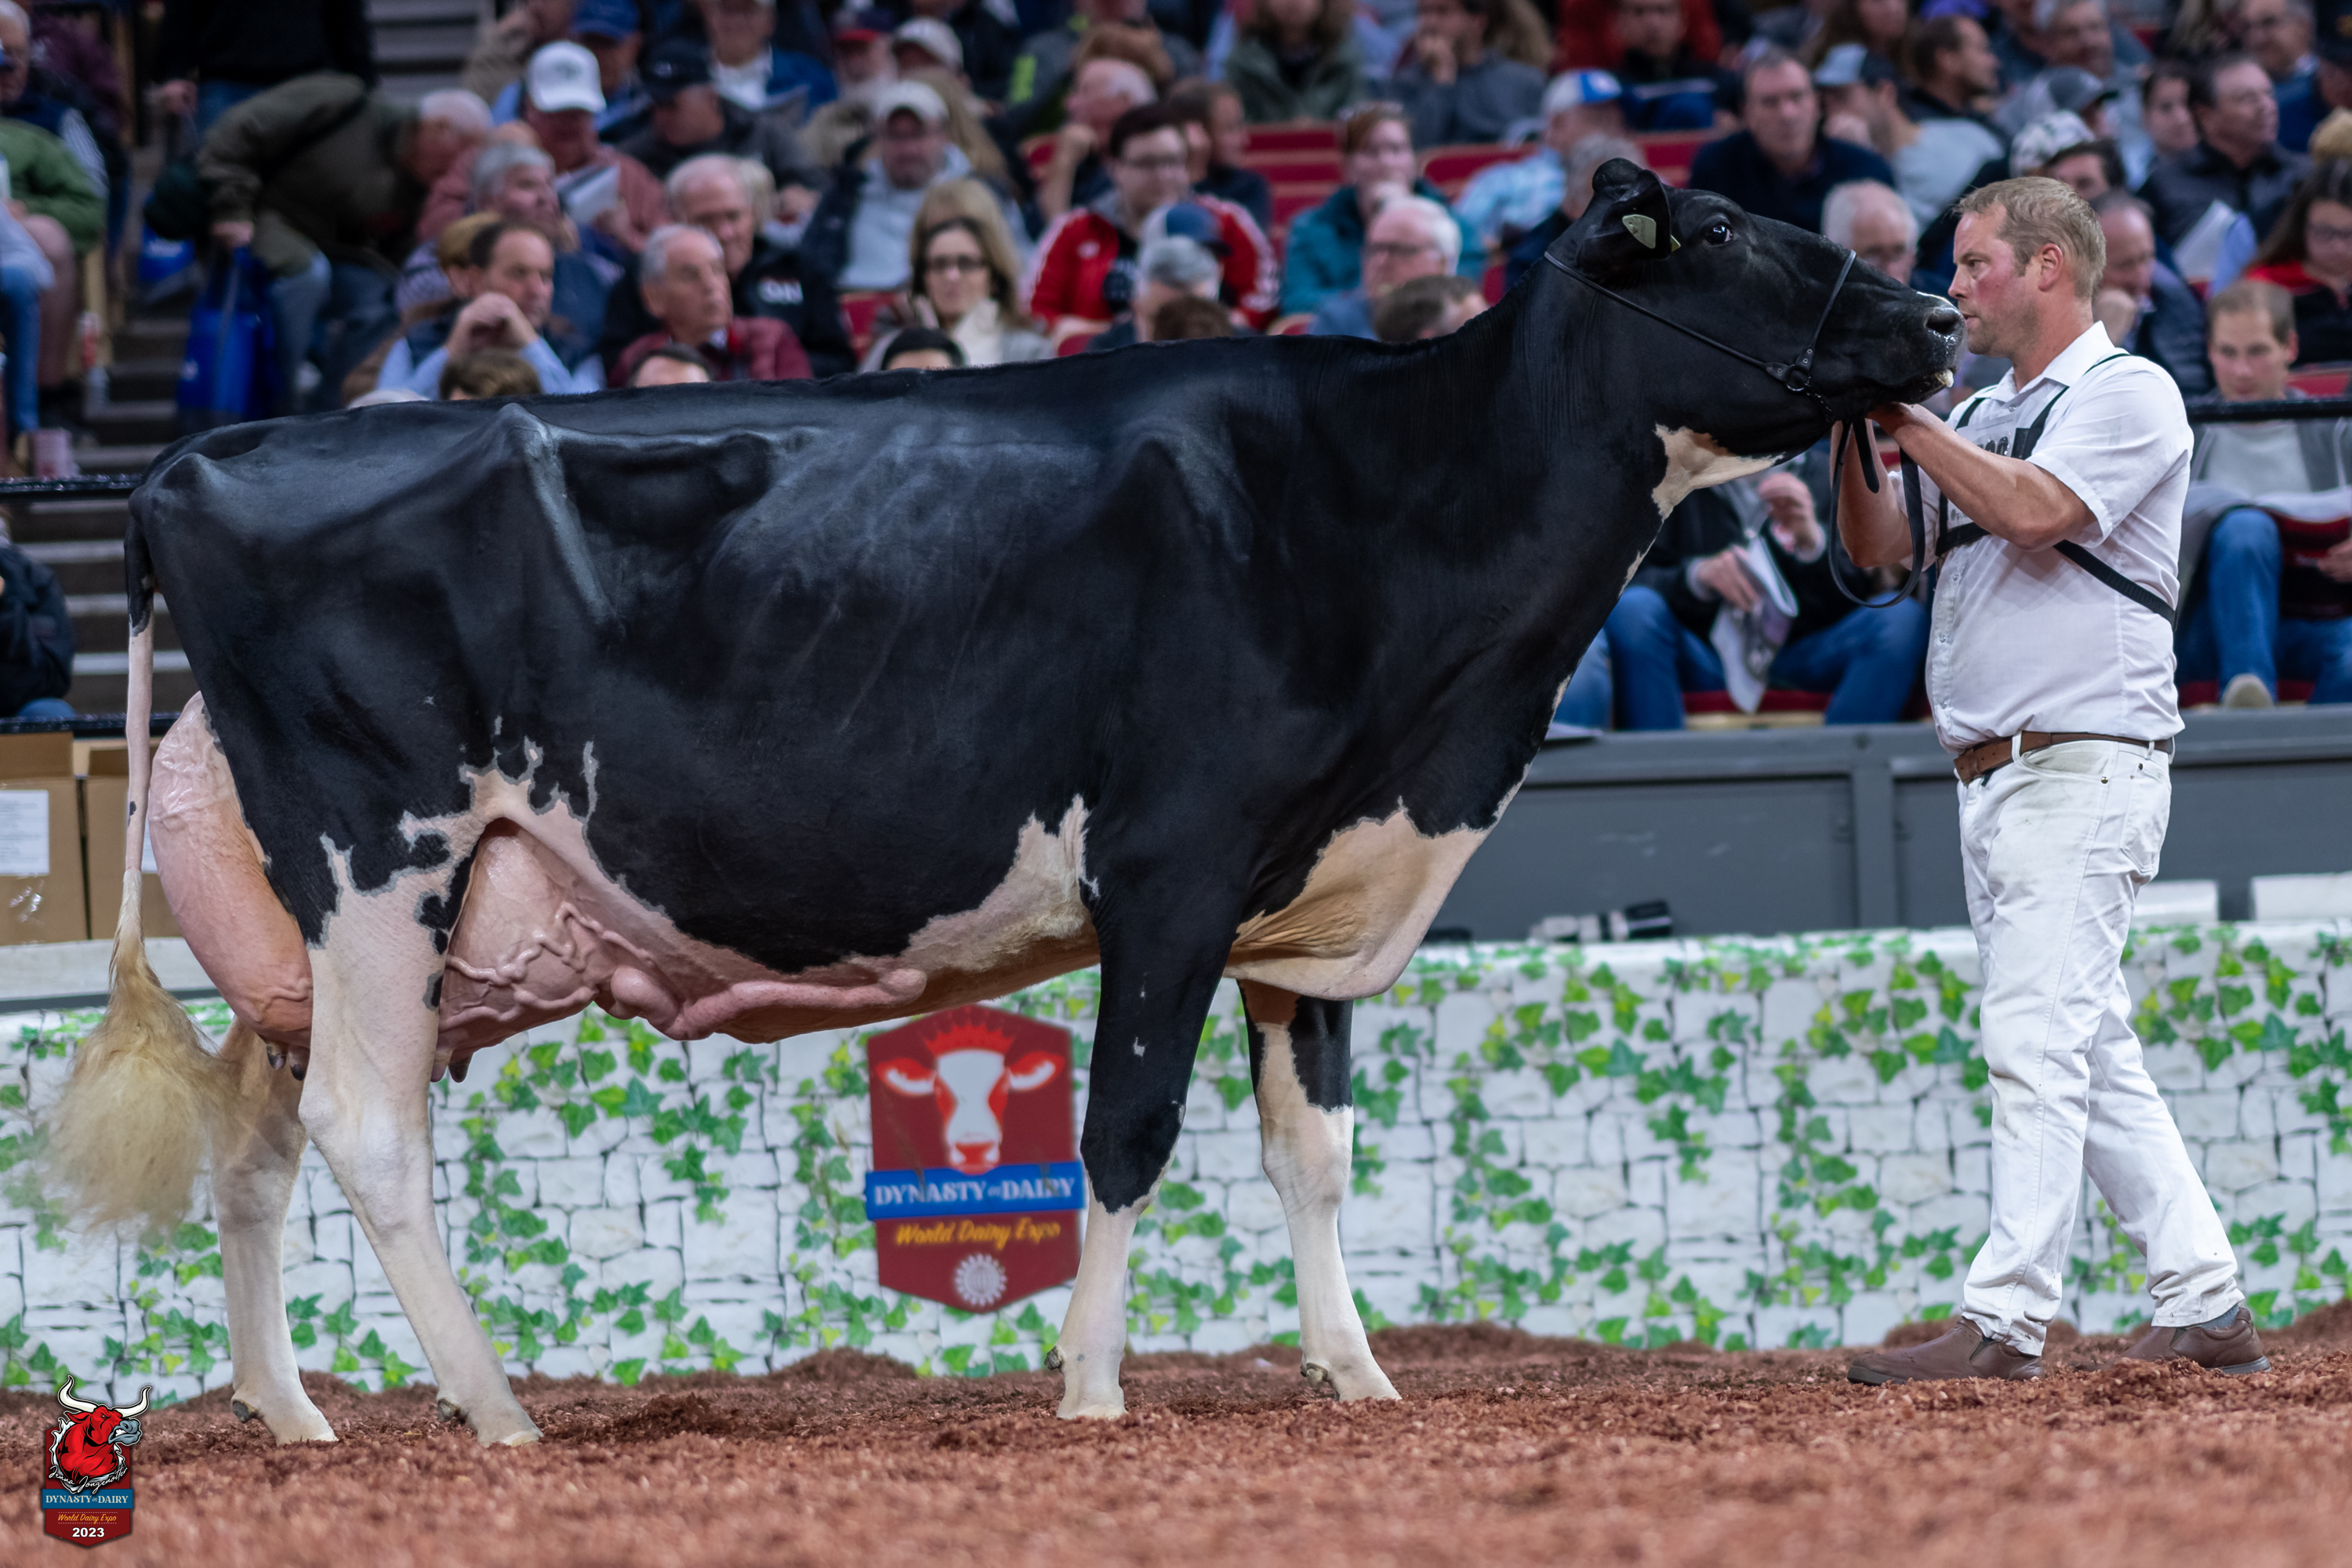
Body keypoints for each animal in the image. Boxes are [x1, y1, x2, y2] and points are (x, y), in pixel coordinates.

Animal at [48, 163, 1956, 1447]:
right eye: (1724, 235)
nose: (1939, 312)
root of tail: (195, 462)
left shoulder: (1300, 899)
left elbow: (1315, 1151)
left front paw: (1356, 1373)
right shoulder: (1175, 869)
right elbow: (1126, 1135)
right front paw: (1096, 1390)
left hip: (307, 934)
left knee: (256, 1146)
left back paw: (296, 1413)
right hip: (387, 866)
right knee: (371, 1134)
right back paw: (498, 1411)